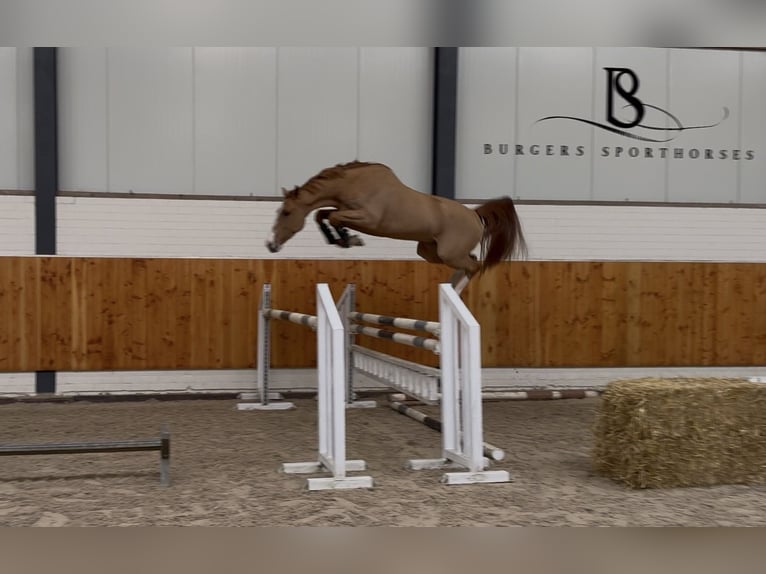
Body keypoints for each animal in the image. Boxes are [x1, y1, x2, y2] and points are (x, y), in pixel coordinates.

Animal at [266, 161, 527, 293]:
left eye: (286, 213)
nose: (271, 245)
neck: (352, 184)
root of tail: (474, 214)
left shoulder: (367, 218)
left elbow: (335, 218)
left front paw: (349, 240)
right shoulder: (344, 209)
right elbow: (323, 215)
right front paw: (340, 239)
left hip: (447, 253)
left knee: (474, 266)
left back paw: (456, 294)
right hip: (430, 251)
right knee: (469, 262)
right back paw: (450, 289)